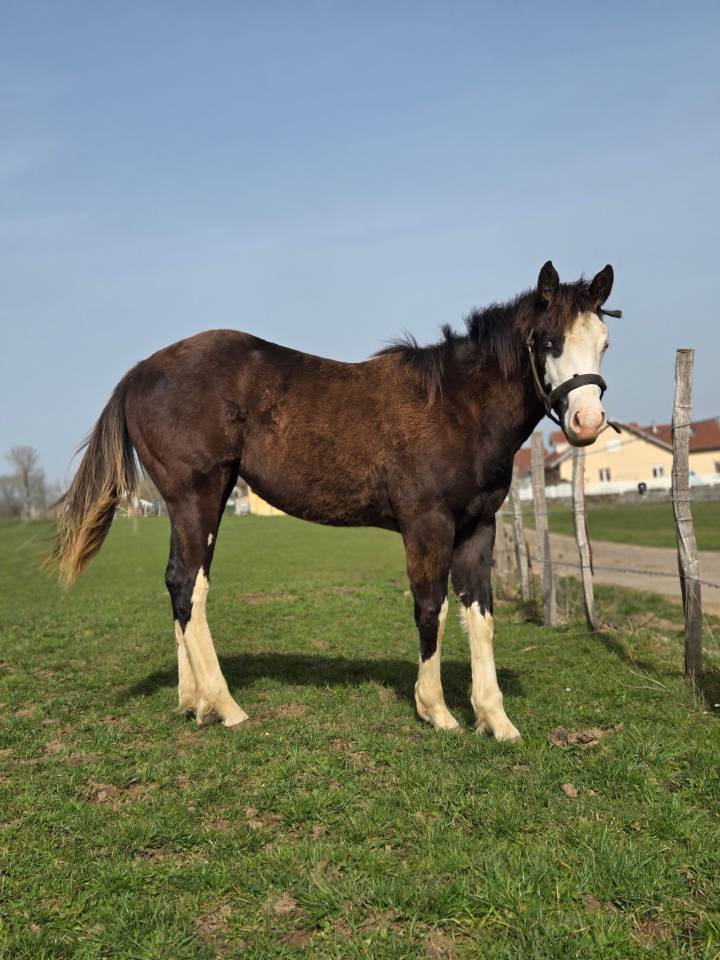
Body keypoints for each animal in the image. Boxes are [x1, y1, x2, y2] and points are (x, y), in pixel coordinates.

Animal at [54, 260, 618, 740]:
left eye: (605, 343)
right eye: (549, 341)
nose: (588, 423)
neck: (458, 406)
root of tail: (139, 373)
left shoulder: (478, 527)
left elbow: (479, 615)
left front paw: (494, 719)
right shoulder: (427, 524)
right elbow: (430, 607)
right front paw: (435, 710)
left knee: (184, 585)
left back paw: (195, 703)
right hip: (197, 496)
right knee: (186, 584)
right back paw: (226, 706)